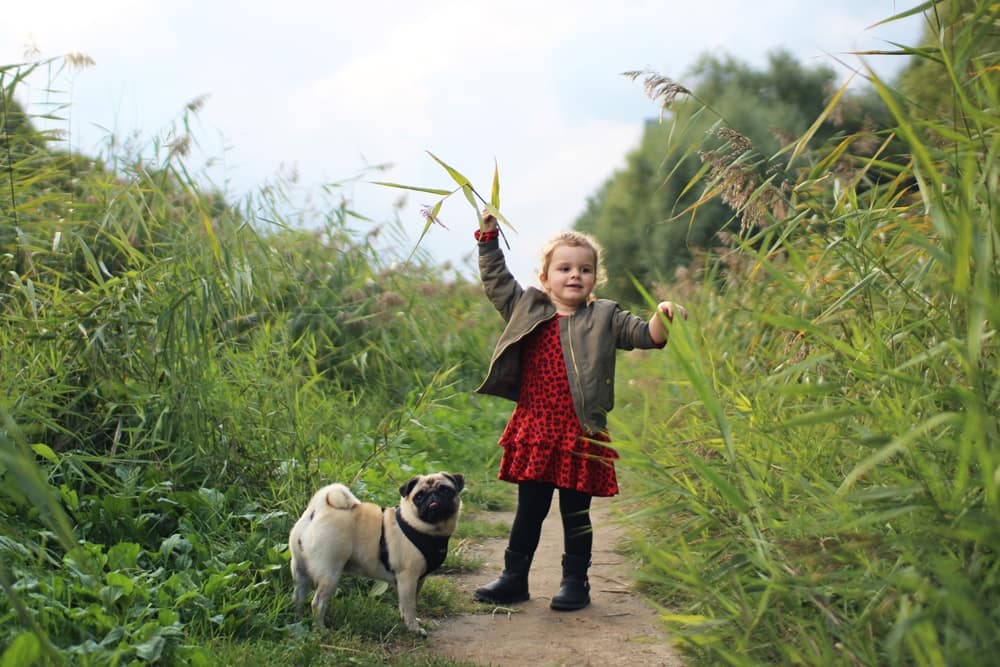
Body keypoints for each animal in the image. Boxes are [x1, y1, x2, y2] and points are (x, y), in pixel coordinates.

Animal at [288, 470, 462, 636]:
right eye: (419, 496)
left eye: (446, 490)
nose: (433, 496)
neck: (427, 529)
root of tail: (317, 511)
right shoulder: (408, 578)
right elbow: (409, 606)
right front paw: (414, 628)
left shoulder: (418, 579)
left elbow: (409, 603)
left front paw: (406, 620)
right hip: (330, 573)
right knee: (318, 603)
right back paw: (321, 629)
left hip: (300, 571)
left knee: (298, 597)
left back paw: (299, 621)